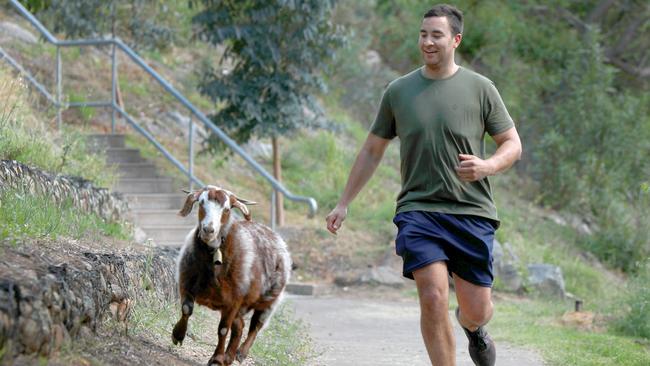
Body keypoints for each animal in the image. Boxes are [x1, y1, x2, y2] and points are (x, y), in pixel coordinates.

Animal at [171, 186, 290, 366]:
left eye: (227, 209)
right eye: (201, 202)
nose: (208, 230)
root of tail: (276, 236)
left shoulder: (233, 301)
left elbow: (223, 329)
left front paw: (217, 358)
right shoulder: (187, 284)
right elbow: (186, 309)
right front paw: (177, 335)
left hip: (268, 301)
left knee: (256, 325)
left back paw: (241, 353)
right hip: (241, 306)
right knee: (240, 326)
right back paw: (230, 356)